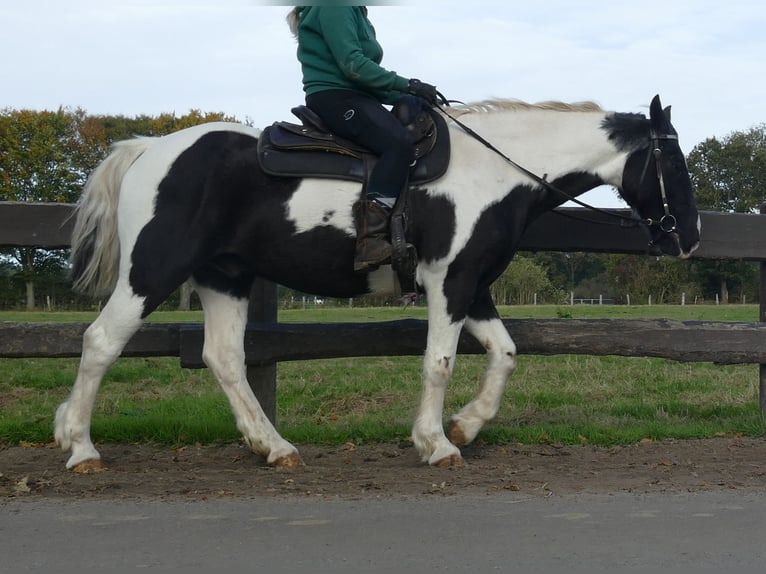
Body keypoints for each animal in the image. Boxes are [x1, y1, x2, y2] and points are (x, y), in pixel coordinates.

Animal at [54, 95, 704, 472]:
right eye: (673, 162)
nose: (689, 239)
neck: (494, 172)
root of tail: (149, 149)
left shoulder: (474, 285)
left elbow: (505, 353)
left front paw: (466, 425)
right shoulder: (450, 282)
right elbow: (439, 362)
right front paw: (437, 443)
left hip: (226, 277)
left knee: (225, 358)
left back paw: (273, 447)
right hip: (152, 269)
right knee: (102, 341)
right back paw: (81, 447)